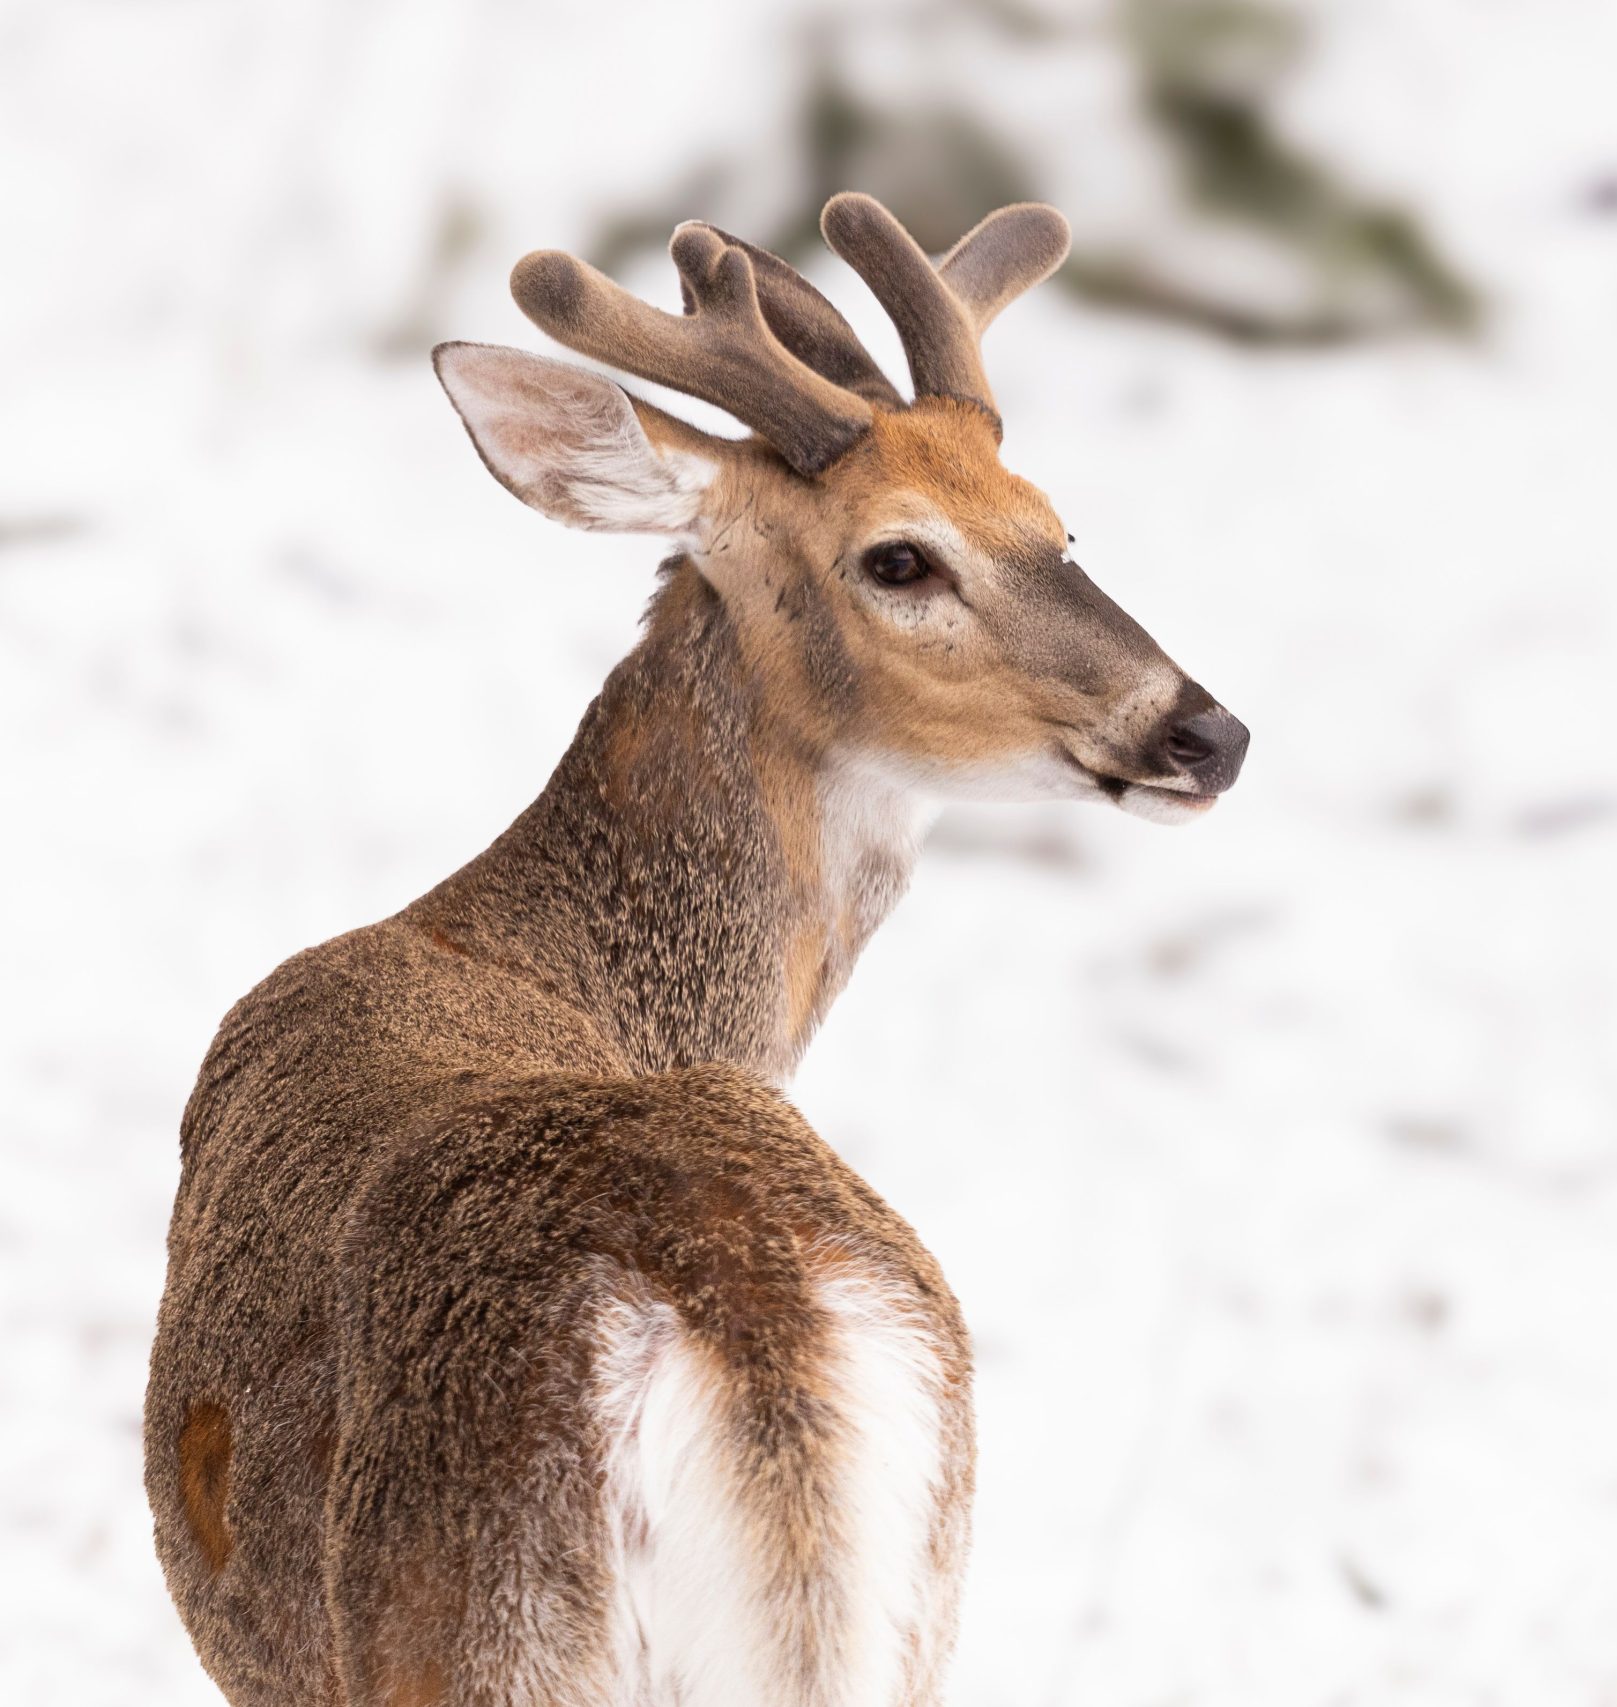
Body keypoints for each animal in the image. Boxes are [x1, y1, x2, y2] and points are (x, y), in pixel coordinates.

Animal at [144, 191, 1248, 1707]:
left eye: (1054, 525)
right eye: (901, 556)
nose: (1206, 731)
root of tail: (753, 1322)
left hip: (476, 1627)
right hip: (904, 1608)